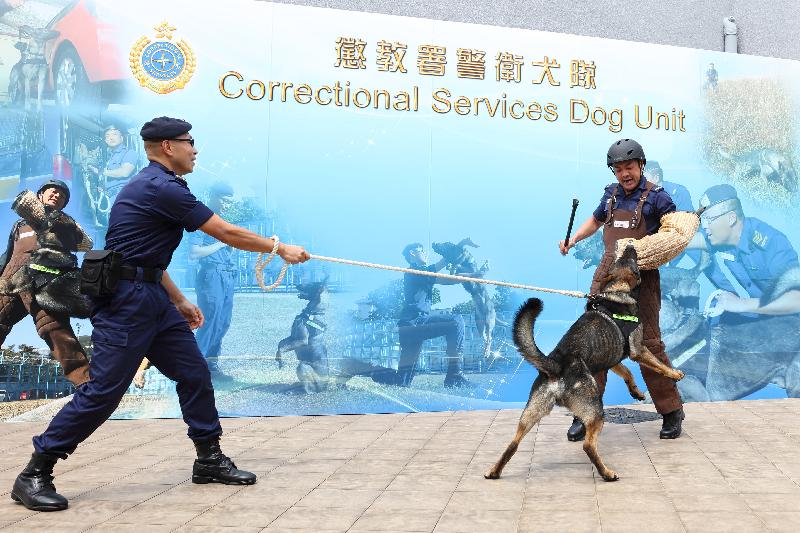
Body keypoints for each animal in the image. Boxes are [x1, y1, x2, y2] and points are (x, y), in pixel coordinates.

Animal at [484, 246, 684, 482]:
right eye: (633, 264)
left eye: (622, 259)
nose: (630, 246)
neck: (615, 291)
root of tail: (555, 365)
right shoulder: (638, 349)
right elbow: (658, 364)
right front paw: (675, 374)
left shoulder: (612, 359)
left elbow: (627, 373)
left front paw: (636, 392)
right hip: (595, 410)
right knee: (588, 445)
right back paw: (607, 473)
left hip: (530, 414)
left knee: (513, 444)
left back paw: (494, 471)